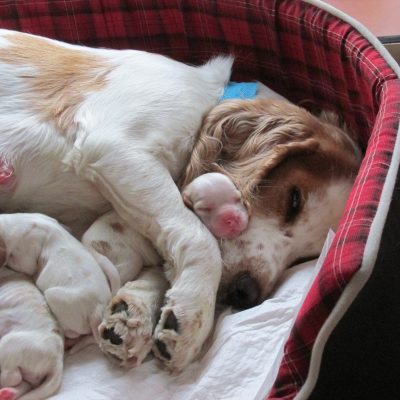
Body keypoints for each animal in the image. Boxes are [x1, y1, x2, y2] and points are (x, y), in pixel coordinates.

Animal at [0, 28, 360, 376]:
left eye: (308, 256)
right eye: (294, 200)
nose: (246, 293)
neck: (206, 100)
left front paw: (136, 313)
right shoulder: (114, 148)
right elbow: (198, 239)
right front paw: (193, 311)